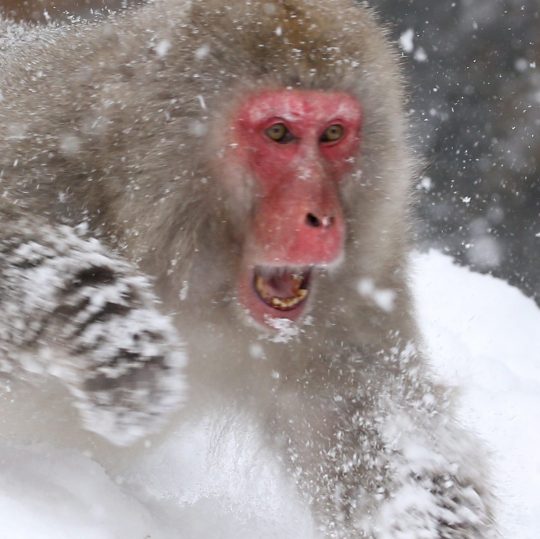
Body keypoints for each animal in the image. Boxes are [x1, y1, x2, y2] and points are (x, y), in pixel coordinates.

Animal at [0, 0, 498, 536]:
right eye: (279, 132)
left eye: (333, 133)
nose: (323, 219)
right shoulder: (47, 164)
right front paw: (106, 323)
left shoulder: (359, 285)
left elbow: (377, 431)